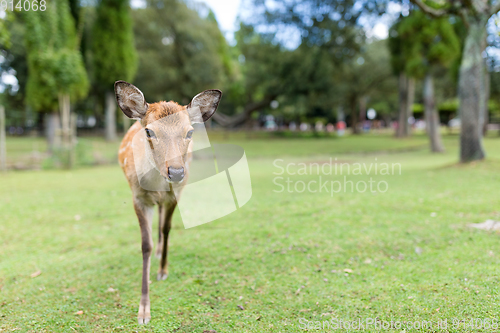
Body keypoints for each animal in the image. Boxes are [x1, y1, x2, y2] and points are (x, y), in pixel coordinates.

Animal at [116, 81, 222, 324]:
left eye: (189, 131)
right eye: (149, 130)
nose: (176, 172)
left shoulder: (176, 195)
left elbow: (167, 228)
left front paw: (163, 271)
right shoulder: (138, 197)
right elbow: (145, 245)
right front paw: (143, 310)